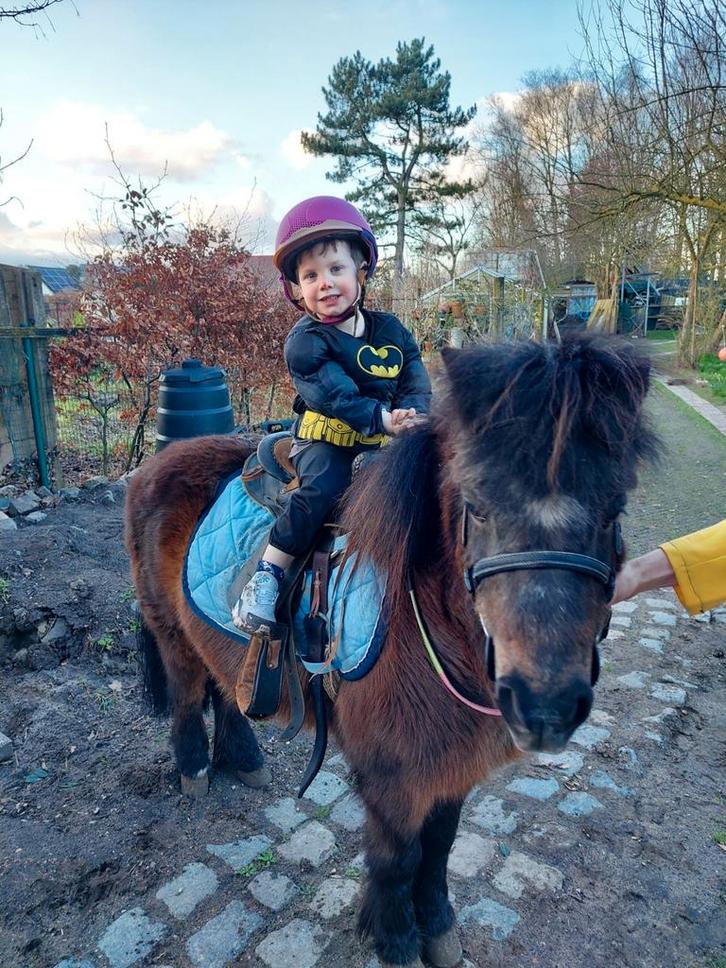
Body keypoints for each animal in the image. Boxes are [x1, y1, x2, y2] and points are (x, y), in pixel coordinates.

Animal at [125, 333, 657, 968]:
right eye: (477, 505)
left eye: (614, 509)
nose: (545, 705)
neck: (427, 614)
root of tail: (154, 465)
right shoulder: (391, 775)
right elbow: (399, 859)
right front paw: (397, 940)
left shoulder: (448, 764)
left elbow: (440, 848)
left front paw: (438, 929)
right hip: (169, 632)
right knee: (186, 697)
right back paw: (197, 769)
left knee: (228, 687)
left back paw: (245, 758)